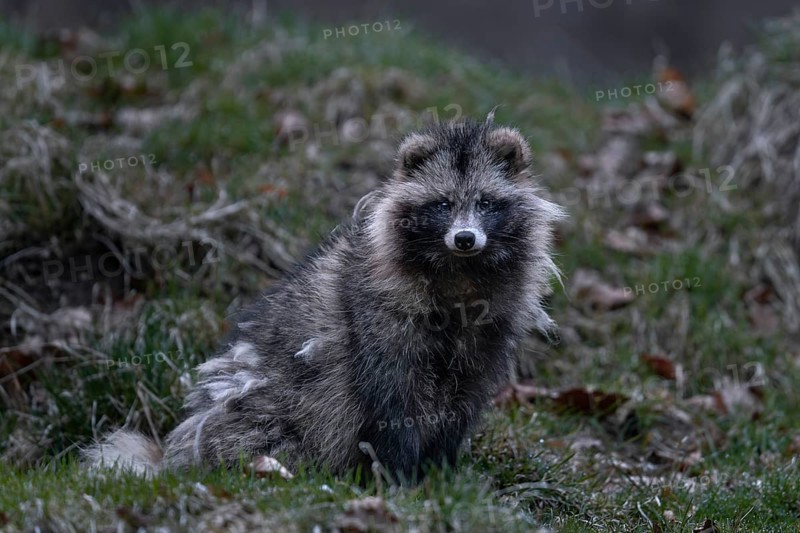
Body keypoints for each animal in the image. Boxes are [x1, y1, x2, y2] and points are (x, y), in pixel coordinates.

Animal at [85, 118, 565, 484]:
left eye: (485, 203)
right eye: (443, 204)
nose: (464, 238)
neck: (460, 274)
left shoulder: (490, 327)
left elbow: (465, 396)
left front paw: (442, 468)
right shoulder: (378, 317)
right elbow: (393, 400)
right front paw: (401, 475)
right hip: (257, 414)